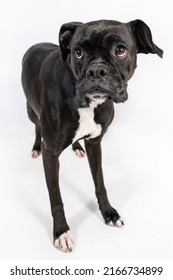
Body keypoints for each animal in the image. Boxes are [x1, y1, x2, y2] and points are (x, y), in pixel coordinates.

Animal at [21, 18, 163, 253]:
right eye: (78, 52)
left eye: (120, 50)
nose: (96, 70)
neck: (86, 104)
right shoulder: (51, 155)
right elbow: (56, 198)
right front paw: (61, 231)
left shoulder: (95, 143)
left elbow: (100, 183)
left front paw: (109, 213)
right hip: (31, 111)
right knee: (37, 126)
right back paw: (35, 146)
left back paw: (77, 148)